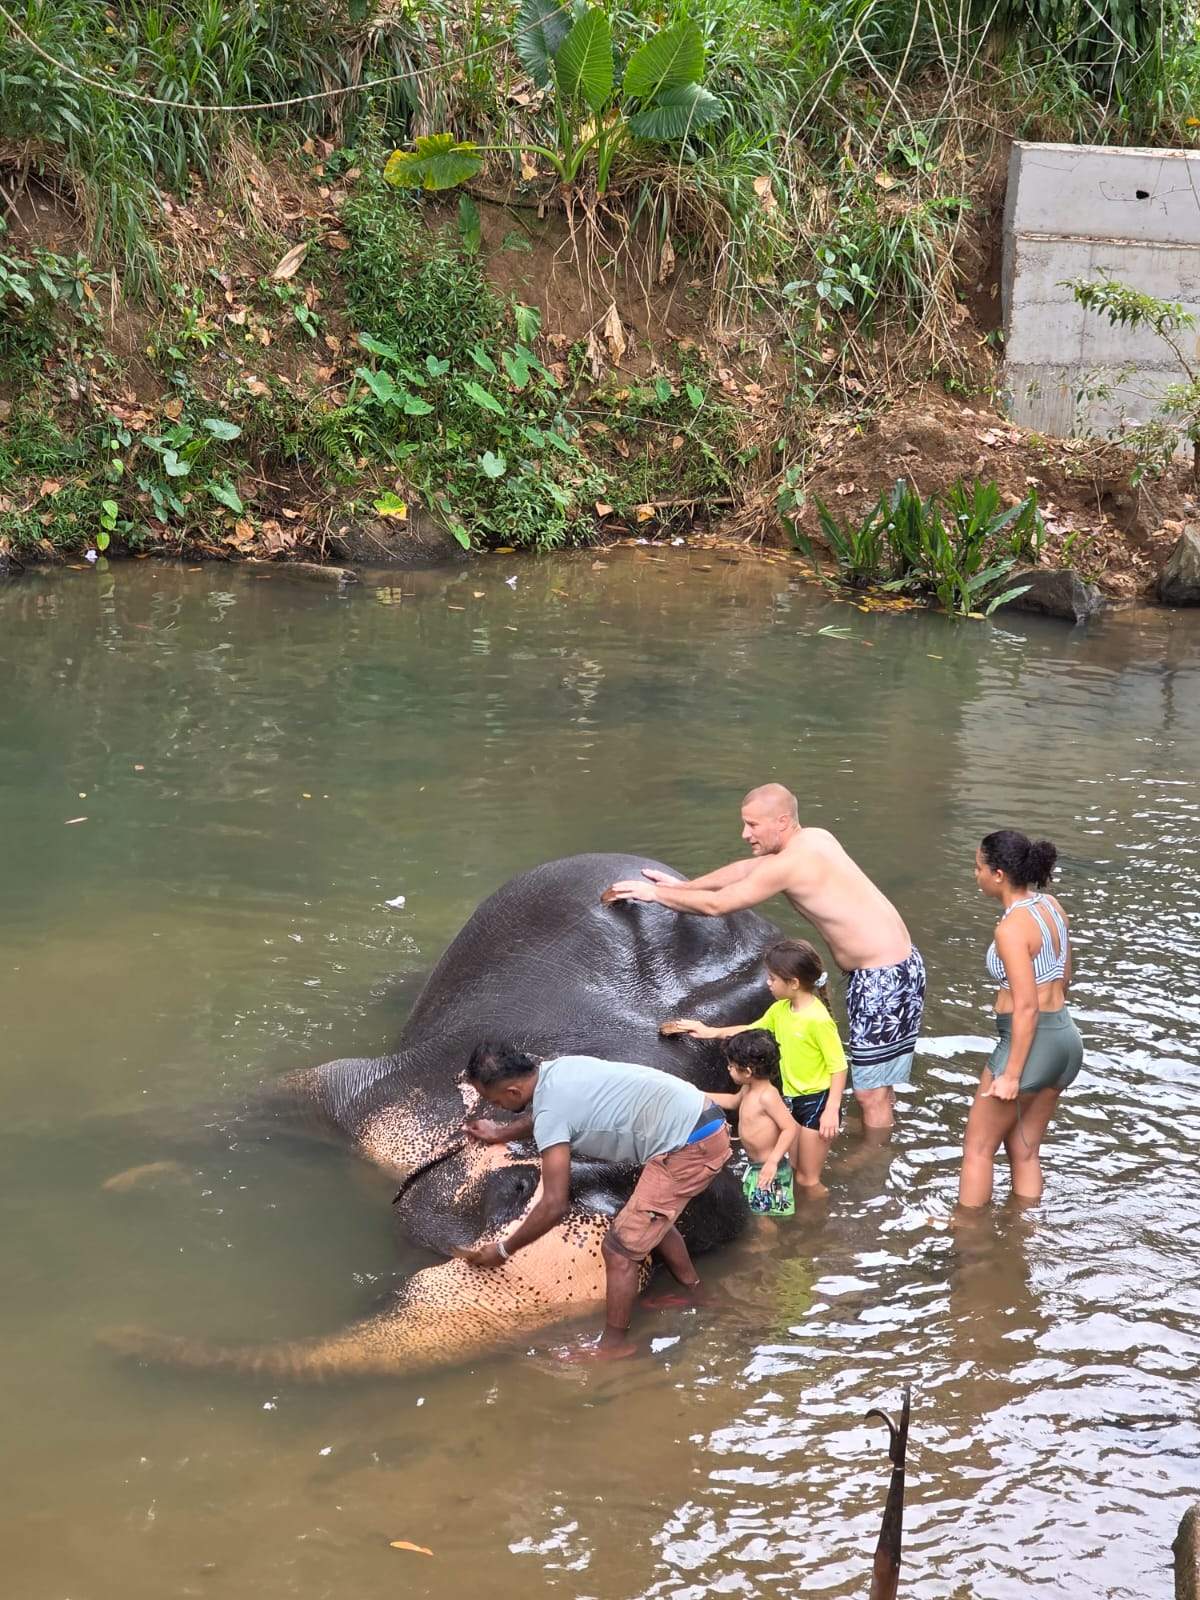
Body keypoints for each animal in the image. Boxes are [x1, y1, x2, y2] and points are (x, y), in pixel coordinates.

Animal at [108, 852, 782, 1381]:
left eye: (676, 1257)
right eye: (515, 1189)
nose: (117, 1336)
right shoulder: (393, 1090)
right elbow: (280, 1091)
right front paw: (114, 1163)